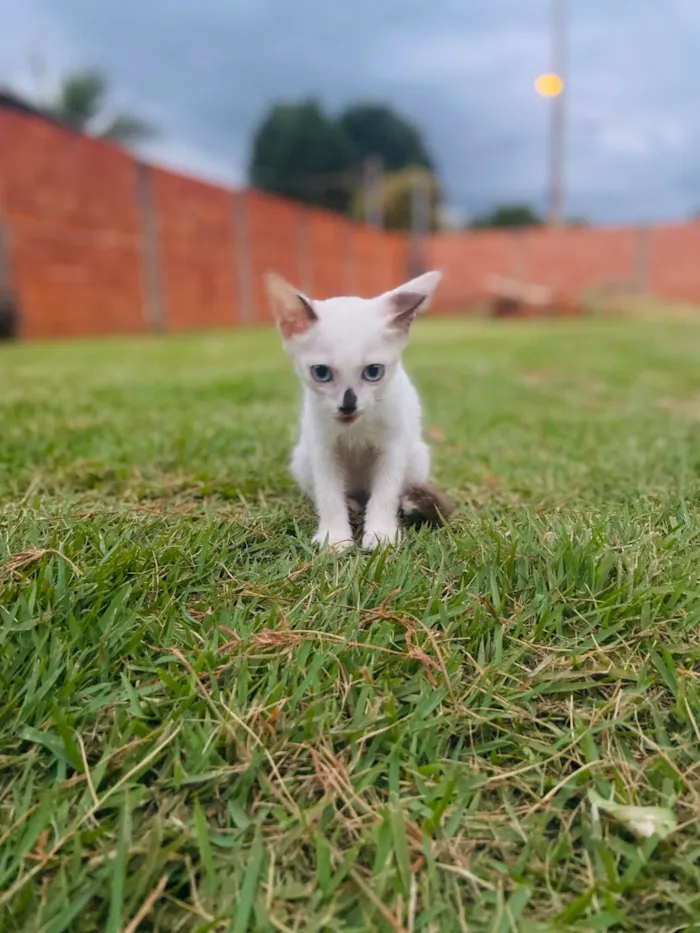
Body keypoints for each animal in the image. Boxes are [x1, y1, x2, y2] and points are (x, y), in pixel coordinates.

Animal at [266, 270, 452, 548]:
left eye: (373, 372)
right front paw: (334, 538)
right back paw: (352, 505)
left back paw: (408, 503)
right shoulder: (322, 447)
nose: (348, 405)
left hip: (418, 456)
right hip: (302, 458)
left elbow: (384, 493)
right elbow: (329, 495)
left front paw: (381, 535)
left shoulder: (392, 447)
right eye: (321, 373)